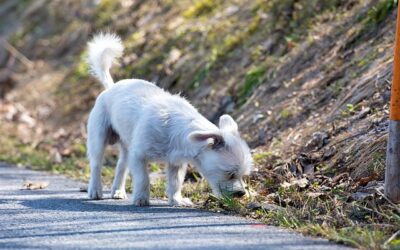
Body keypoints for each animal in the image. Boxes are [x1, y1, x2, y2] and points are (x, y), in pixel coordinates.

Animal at [86, 32, 253, 206]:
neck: (174, 129)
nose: (241, 193)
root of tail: (111, 87)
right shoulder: (138, 156)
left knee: (121, 166)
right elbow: (143, 179)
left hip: (126, 146)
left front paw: (176, 200)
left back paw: (118, 191)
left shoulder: (176, 163)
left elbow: (175, 183)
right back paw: (95, 190)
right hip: (98, 139)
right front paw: (141, 199)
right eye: (230, 173)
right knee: (96, 164)